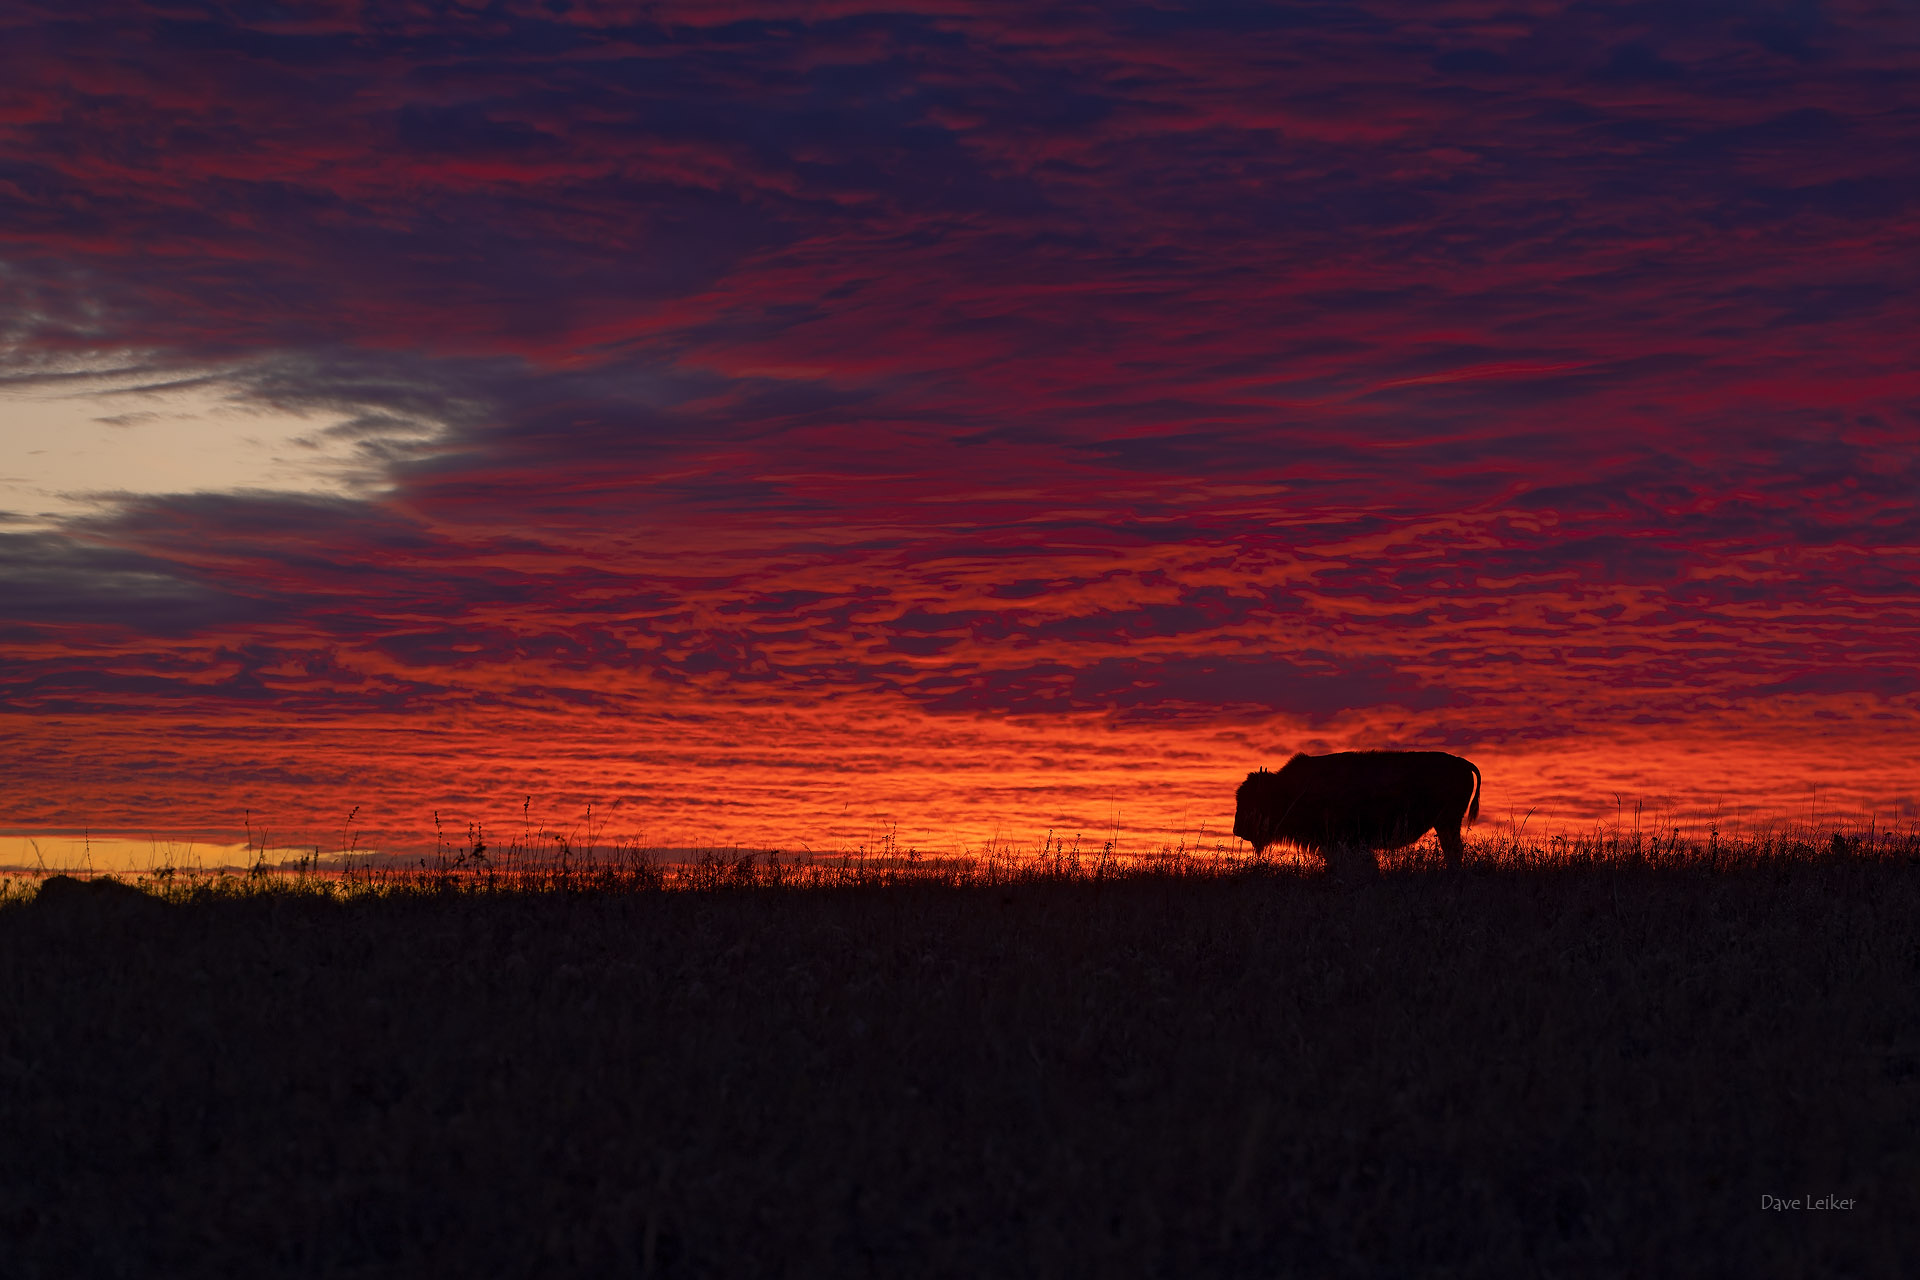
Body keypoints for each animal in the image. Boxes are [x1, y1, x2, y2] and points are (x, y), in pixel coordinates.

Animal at [1228, 744, 1482, 875]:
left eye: (1253, 799)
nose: (1237, 829)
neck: (1290, 790)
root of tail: (1462, 762)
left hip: (1447, 822)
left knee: (1454, 850)